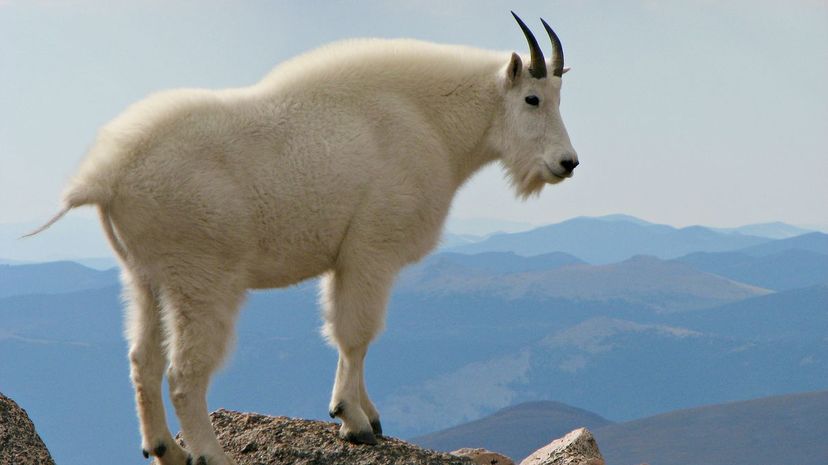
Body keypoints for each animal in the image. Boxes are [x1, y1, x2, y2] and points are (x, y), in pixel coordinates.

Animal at [26, 12, 578, 465]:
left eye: (557, 98)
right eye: (532, 99)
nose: (567, 163)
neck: (431, 121)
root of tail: (105, 177)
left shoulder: (347, 260)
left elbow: (347, 336)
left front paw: (368, 415)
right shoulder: (371, 251)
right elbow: (356, 334)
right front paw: (354, 421)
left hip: (144, 278)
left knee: (142, 361)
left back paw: (166, 449)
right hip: (202, 279)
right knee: (184, 375)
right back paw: (209, 455)